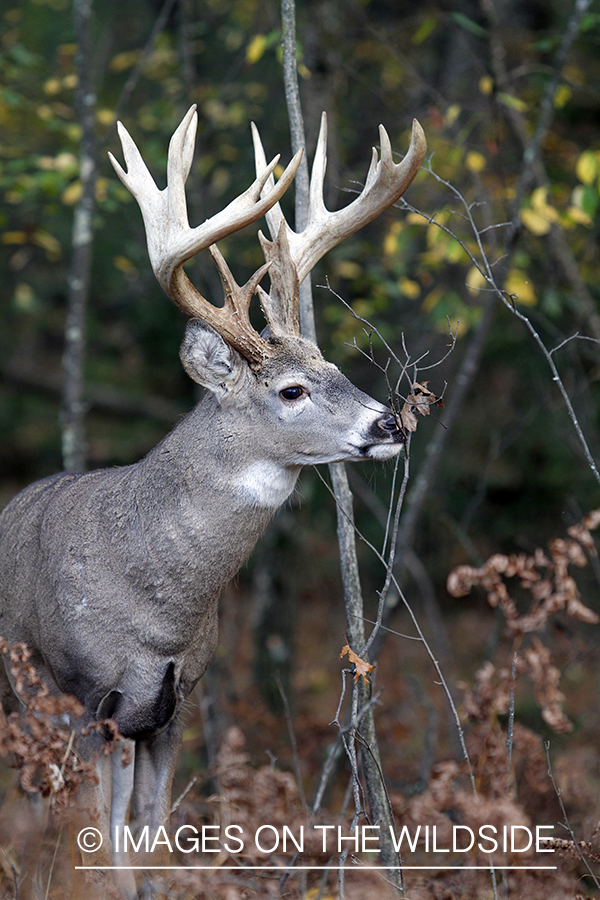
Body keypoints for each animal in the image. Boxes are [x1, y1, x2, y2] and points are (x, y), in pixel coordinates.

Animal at [0, 102, 426, 896]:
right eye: (290, 390)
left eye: (333, 364)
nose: (389, 424)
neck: (159, 610)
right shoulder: (78, 695)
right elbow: (90, 848)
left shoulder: (173, 707)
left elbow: (146, 838)